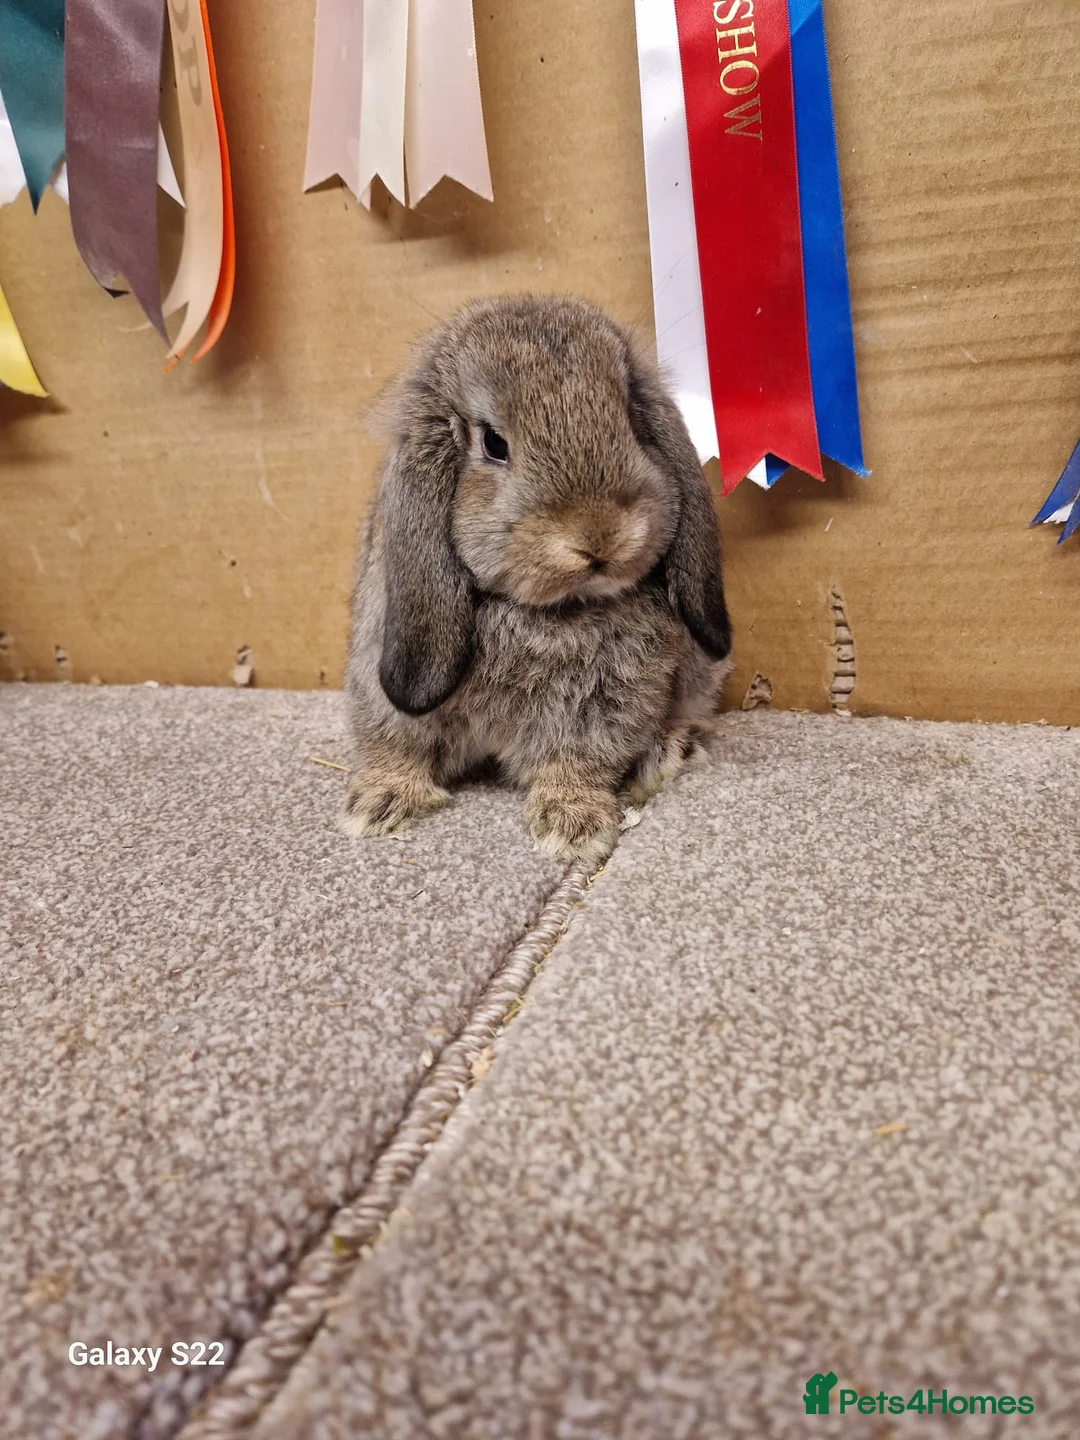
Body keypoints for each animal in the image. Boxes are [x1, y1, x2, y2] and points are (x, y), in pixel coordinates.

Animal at [342, 294, 733, 865]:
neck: (543, 609)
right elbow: (397, 743)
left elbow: (575, 760)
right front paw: (378, 805)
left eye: (631, 423)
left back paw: (669, 752)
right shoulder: (385, 685)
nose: (599, 535)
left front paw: (573, 824)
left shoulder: (602, 706)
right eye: (493, 443)